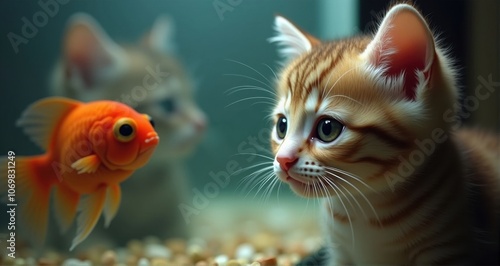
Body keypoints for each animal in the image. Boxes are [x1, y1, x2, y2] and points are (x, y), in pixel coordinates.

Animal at [270, 3, 500, 264]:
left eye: (327, 128)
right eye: (282, 126)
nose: (283, 159)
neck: (365, 210)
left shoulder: (447, 248)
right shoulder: (340, 253)